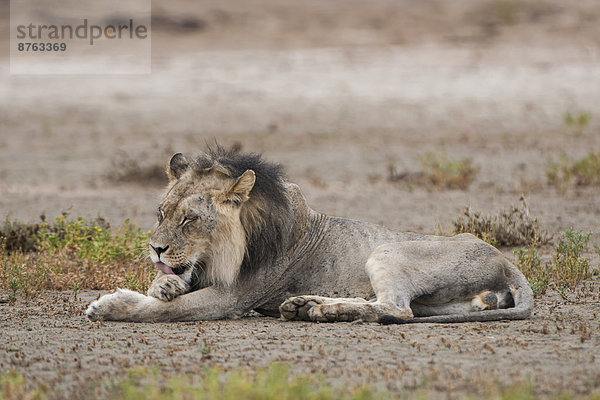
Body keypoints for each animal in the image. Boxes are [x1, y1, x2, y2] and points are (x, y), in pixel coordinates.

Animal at [85, 145, 536, 324]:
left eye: (190, 220)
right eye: (162, 213)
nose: (155, 248)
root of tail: (505, 259)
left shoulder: (234, 296)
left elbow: (166, 311)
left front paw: (110, 306)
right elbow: (168, 289)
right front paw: (162, 284)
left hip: (388, 250)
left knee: (396, 309)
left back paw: (320, 310)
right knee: (391, 306)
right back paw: (308, 306)